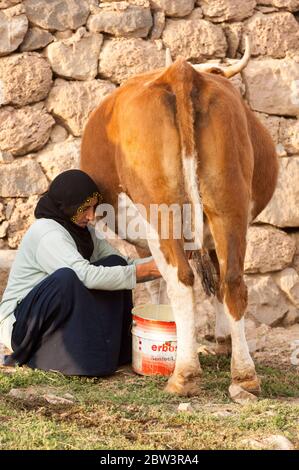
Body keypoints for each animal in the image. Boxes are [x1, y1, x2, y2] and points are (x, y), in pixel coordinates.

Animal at [80, 41, 278, 396]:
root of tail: (182, 72)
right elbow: (214, 280)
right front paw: (223, 341)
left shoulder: (147, 240)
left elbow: (159, 284)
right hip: (228, 204)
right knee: (232, 282)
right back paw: (244, 376)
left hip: (160, 211)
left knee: (182, 280)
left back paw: (184, 374)